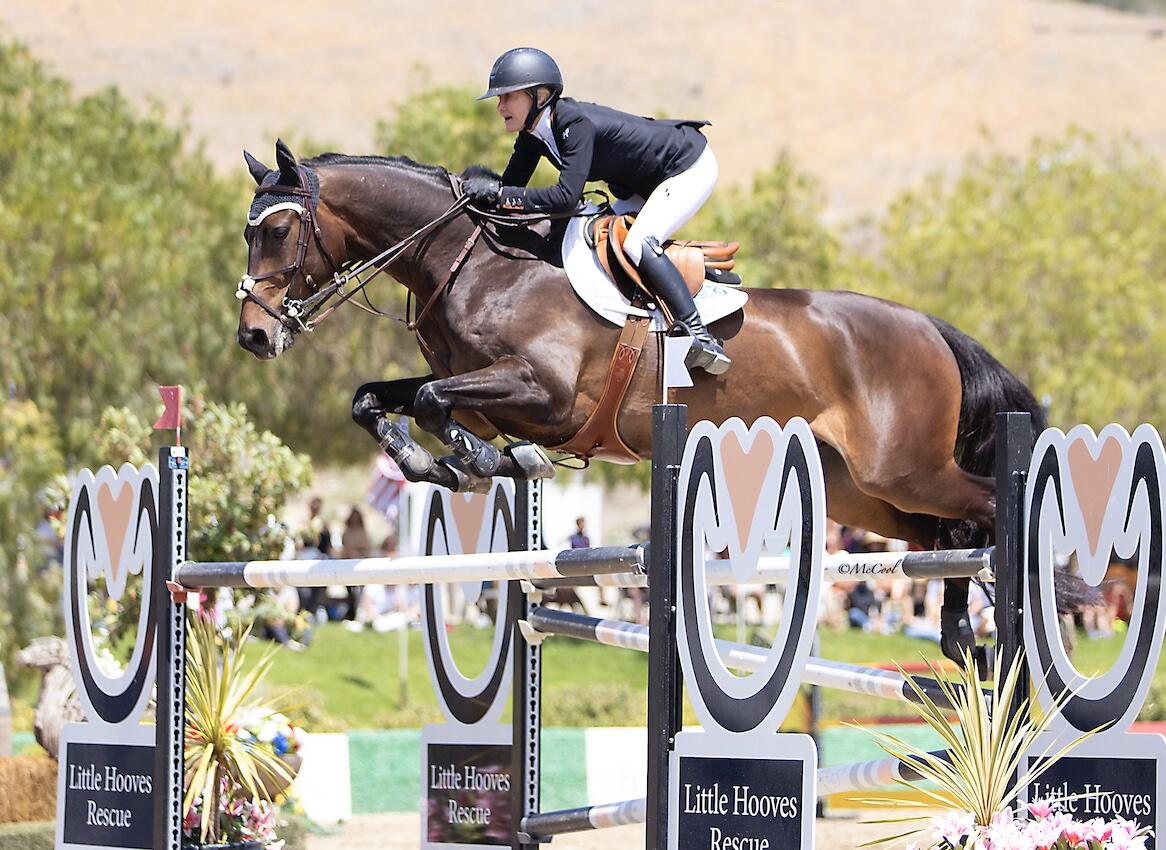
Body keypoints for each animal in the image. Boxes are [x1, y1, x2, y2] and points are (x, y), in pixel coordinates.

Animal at [236, 141, 1049, 671]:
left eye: (277, 229)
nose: (253, 335)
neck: (478, 263)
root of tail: (930, 328)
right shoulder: (480, 385)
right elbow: (374, 399)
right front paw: (434, 462)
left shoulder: (543, 393)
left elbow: (441, 404)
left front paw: (485, 460)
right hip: (866, 492)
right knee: (943, 533)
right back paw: (959, 635)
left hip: (905, 467)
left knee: (982, 509)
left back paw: (985, 626)